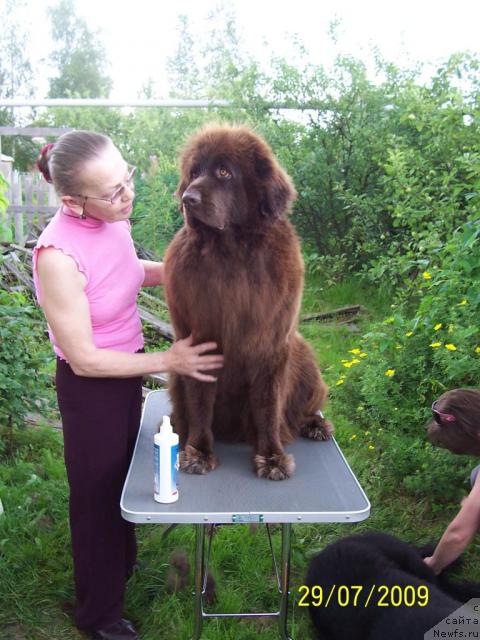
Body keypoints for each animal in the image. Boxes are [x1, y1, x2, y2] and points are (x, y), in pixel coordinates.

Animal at [163, 124, 332, 480]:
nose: (188, 199)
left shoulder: (271, 345)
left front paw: (271, 457)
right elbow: (200, 404)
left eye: (224, 172)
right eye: (194, 173)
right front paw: (199, 452)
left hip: (304, 357)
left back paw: (315, 424)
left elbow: (269, 407)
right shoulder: (198, 345)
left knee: (301, 407)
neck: (231, 253)